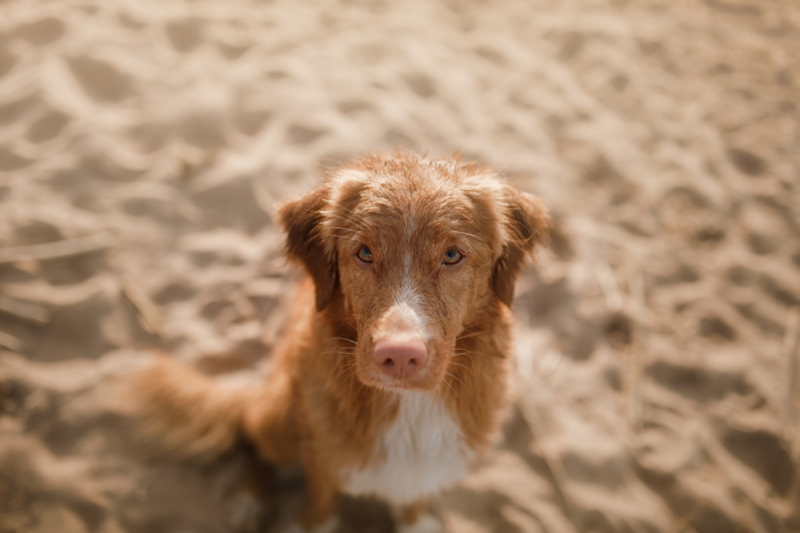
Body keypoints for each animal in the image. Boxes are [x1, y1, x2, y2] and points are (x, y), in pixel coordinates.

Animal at [128, 152, 552, 532]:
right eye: (364, 253)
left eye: (452, 255)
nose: (400, 356)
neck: (408, 408)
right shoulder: (323, 457)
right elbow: (319, 507)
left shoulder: (426, 467)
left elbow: (413, 501)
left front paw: (416, 522)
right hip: (279, 416)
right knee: (254, 439)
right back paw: (249, 498)